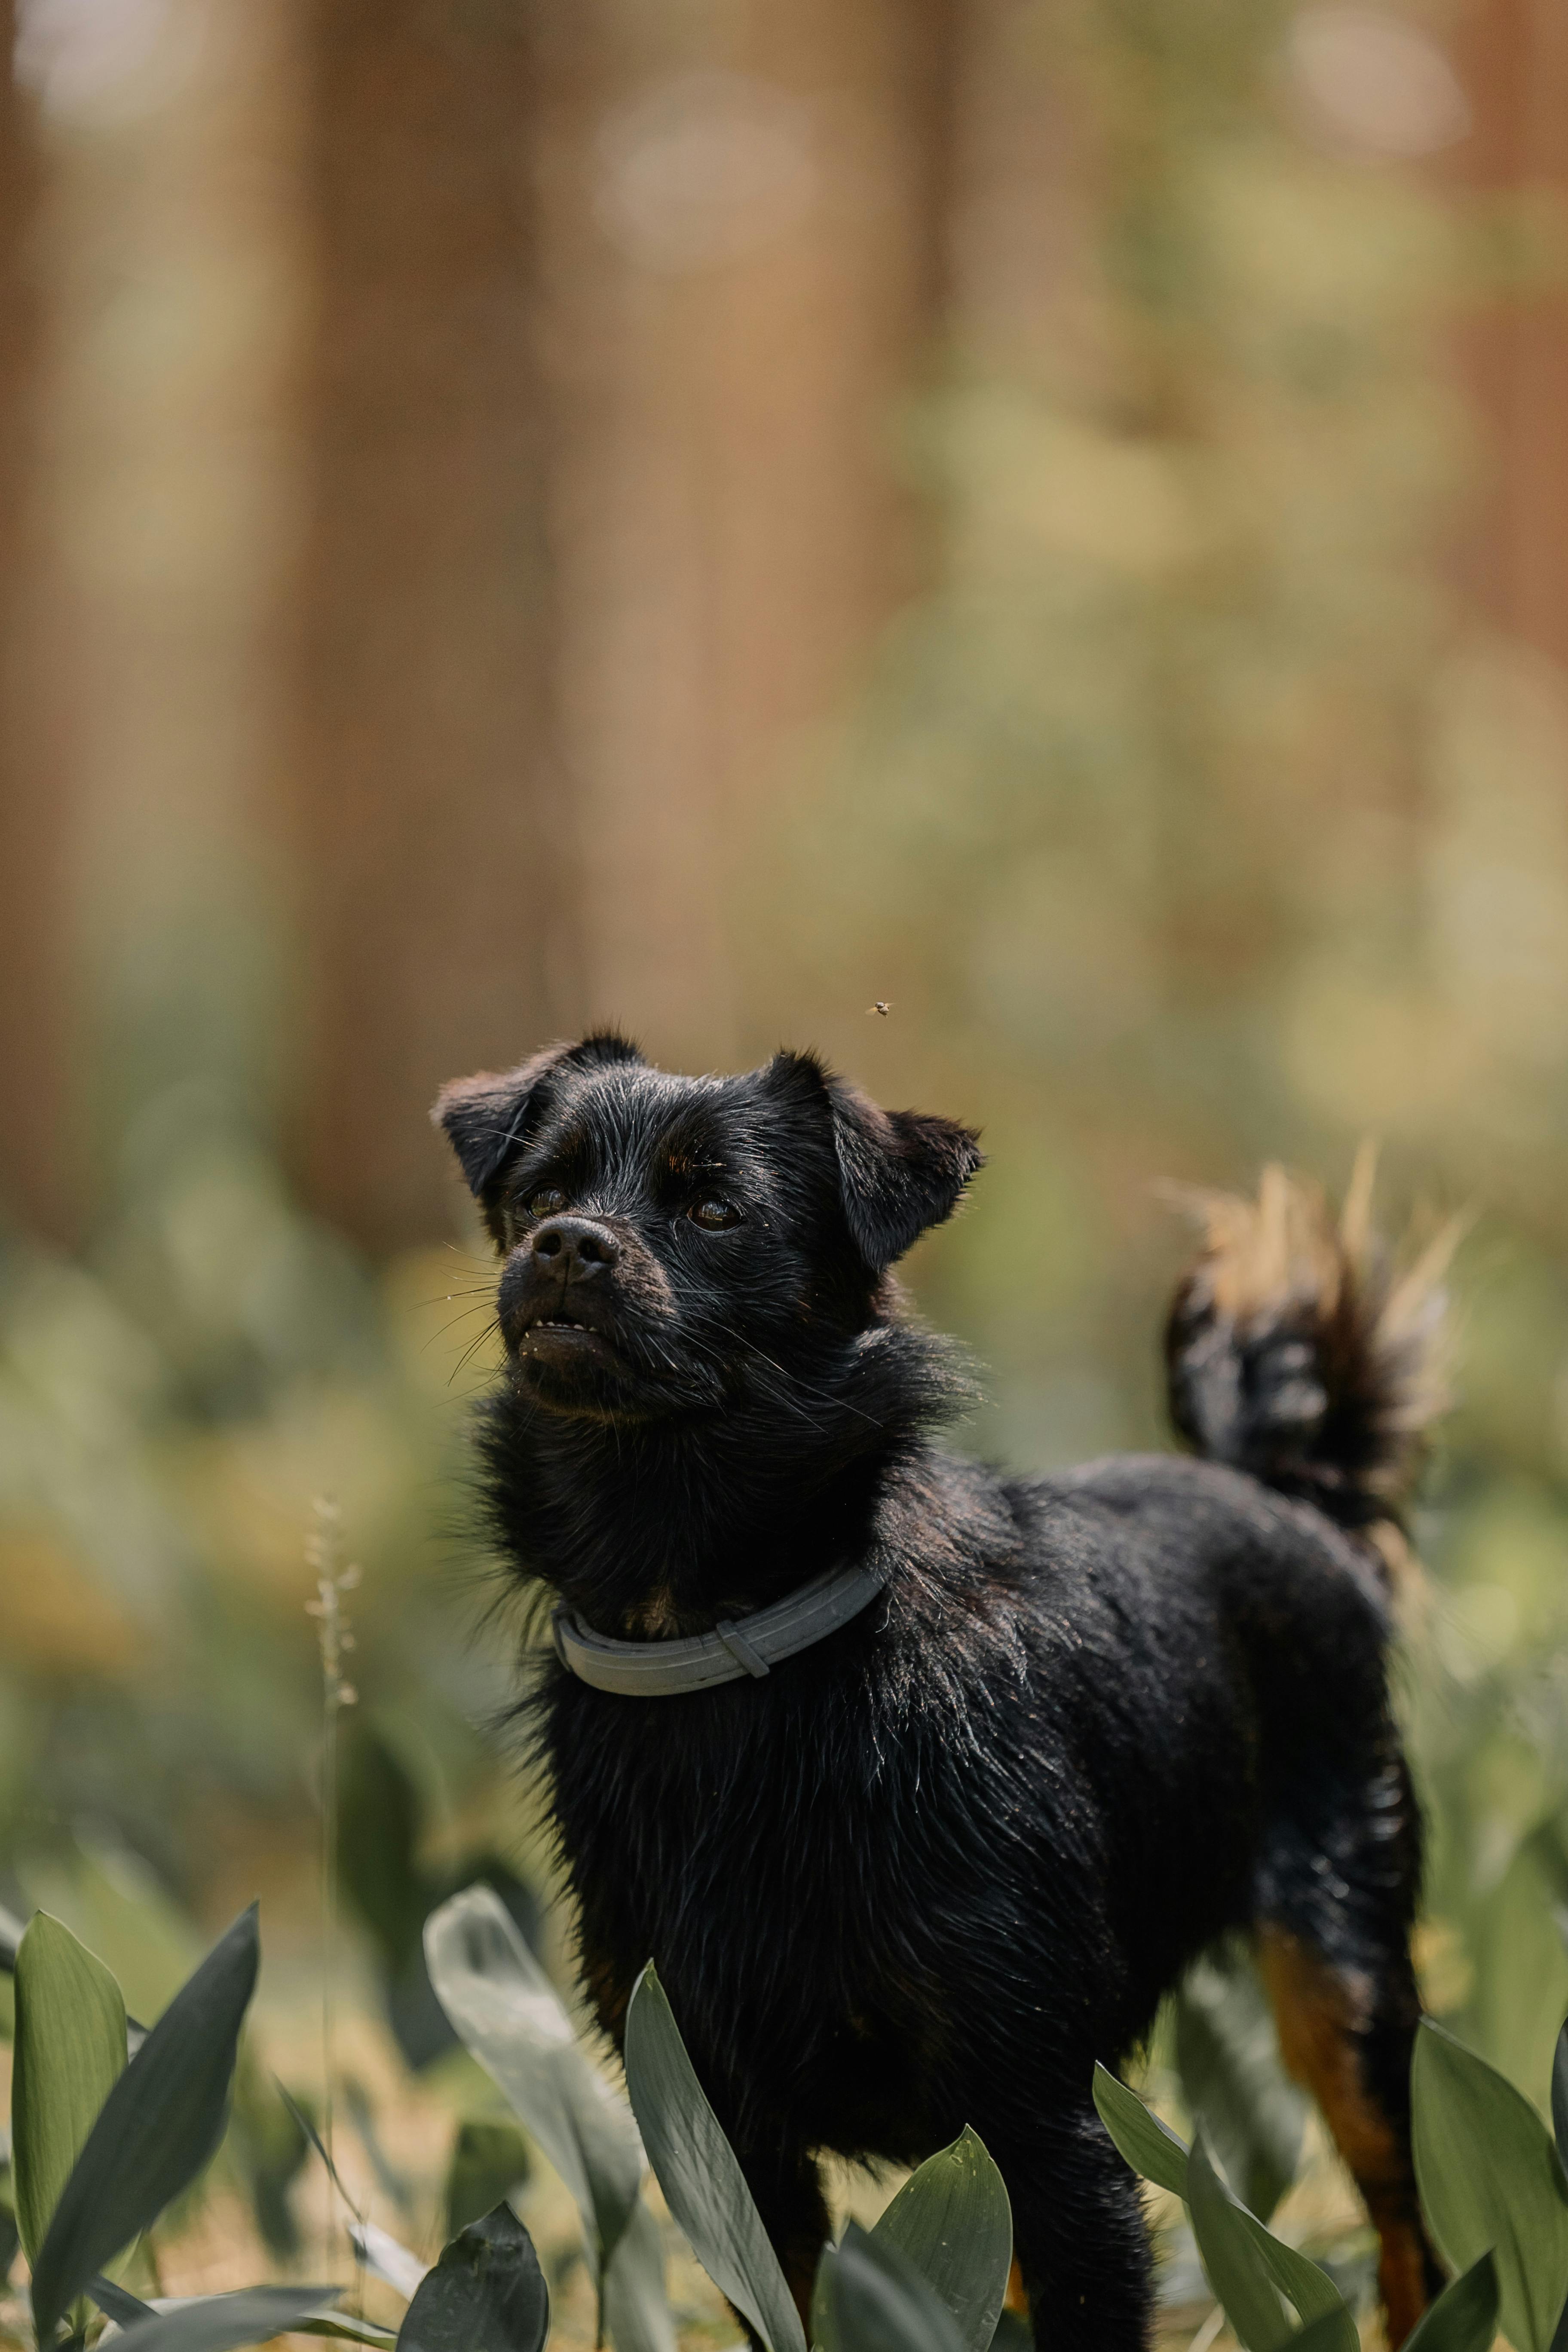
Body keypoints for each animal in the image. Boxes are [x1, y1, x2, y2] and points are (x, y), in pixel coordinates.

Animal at [435, 1044, 1457, 2352]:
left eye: (716, 1211)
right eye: (537, 1197)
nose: (568, 1243)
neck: (717, 1641)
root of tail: (1284, 1496)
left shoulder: (1049, 2127)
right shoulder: (731, 2144)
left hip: (1350, 1985)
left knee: (1412, 2229)